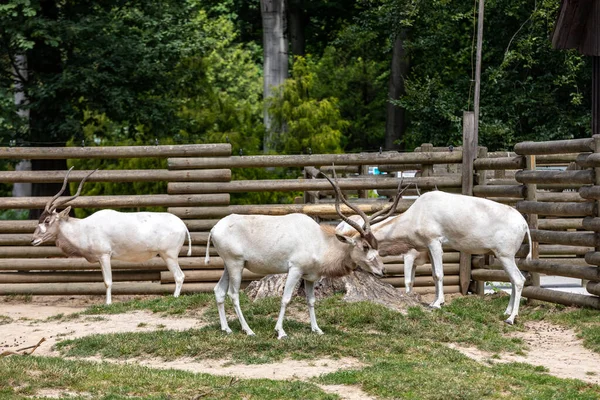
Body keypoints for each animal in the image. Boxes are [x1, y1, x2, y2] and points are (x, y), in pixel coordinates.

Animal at [31, 167, 190, 304]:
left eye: (47, 220)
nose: (33, 240)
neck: (84, 228)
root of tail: (182, 225)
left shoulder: (105, 255)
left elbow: (108, 282)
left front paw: (108, 304)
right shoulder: (100, 259)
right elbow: (104, 281)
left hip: (169, 255)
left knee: (179, 276)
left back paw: (174, 298)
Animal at [206, 170, 398, 340]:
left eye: (376, 246)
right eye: (365, 246)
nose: (383, 271)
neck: (319, 240)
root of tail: (215, 228)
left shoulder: (310, 276)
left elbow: (311, 300)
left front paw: (317, 329)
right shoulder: (295, 270)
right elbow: (286, 299)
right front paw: (280, 332)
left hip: (228, 265)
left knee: (219, 291)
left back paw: (226, 329)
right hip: (236, 265)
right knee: (233, 294)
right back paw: (248, 331)